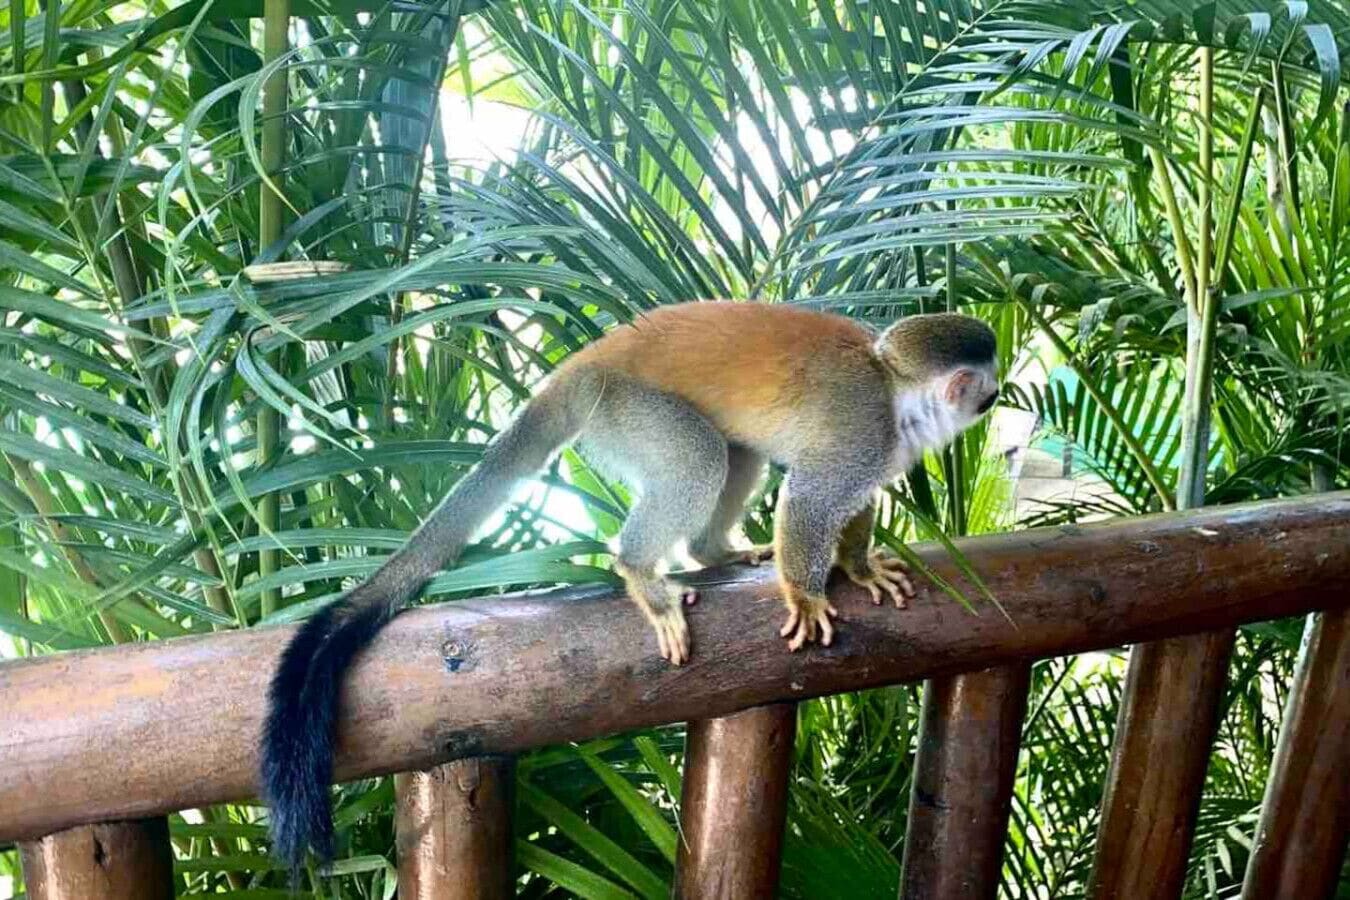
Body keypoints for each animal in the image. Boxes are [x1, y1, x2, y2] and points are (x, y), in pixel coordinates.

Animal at [260, 301, 999, 875]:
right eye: (986, 387)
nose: (996, 399)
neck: (896, 392)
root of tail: (584, 363)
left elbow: (849, 502)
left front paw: (859, 565)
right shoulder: (862, 430)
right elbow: (814, 497)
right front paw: (807, 593)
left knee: (734, 453)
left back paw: (710, 550)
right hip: (623, 411)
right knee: (700, 455)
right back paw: (643, 568)